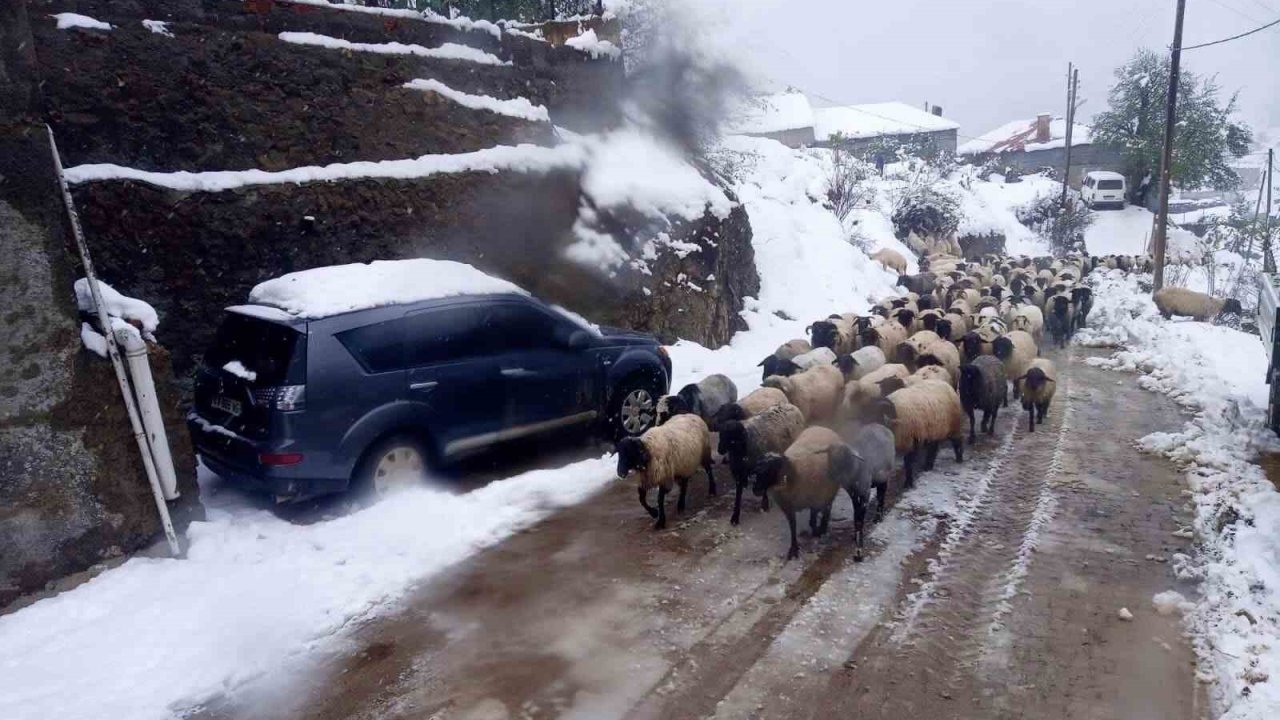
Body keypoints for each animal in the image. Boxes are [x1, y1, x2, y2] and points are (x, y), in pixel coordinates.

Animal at [747, 422, 844, 558]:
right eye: (757, 471)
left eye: (770, 470)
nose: (756, 490)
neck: (795, 472)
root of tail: (822, 427)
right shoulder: (788, 507)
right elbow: (793, 526)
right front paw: (793, 549)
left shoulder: (815, 499)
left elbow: (813, 520)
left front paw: (817, 532)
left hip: (828, 492)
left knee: (827, 508)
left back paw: (823, 527)